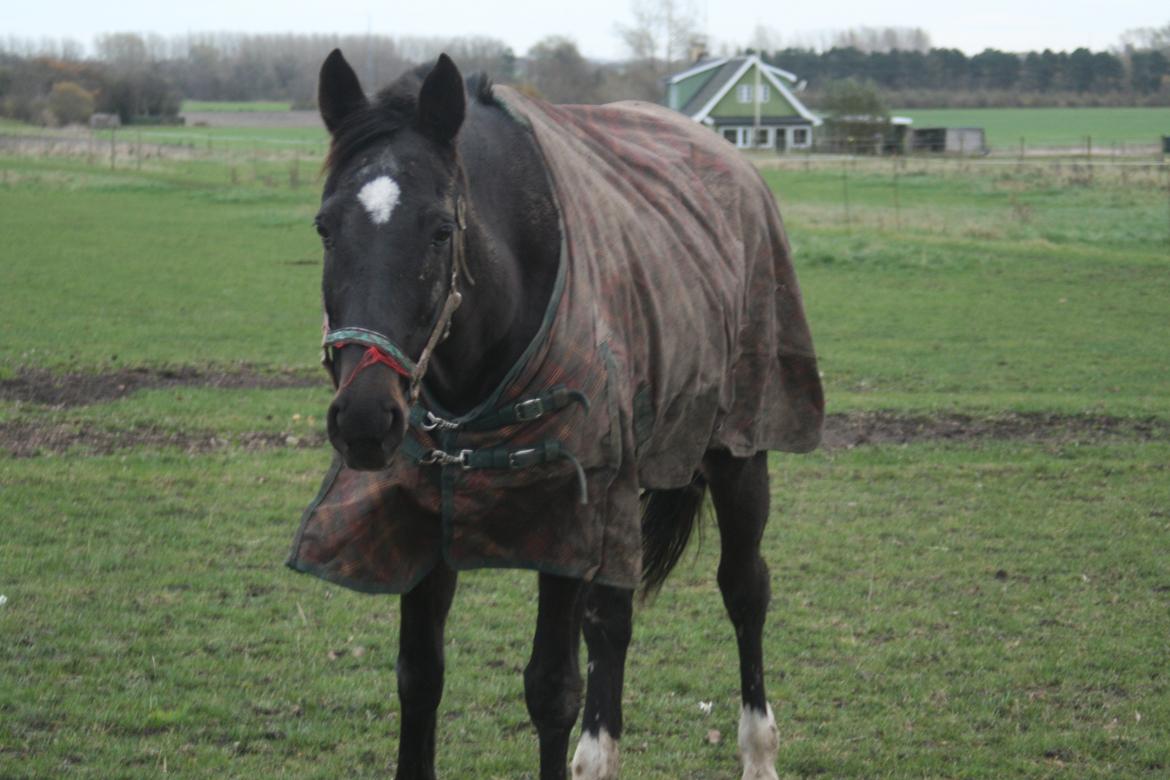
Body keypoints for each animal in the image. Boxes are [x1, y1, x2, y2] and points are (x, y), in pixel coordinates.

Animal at [286, 50, 823, 780]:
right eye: (325, 227)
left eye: (441, 230)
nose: (365, 419)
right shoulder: (430, 513)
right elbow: (420, 675)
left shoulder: (566, 514)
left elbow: (550, 688)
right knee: (613, 618)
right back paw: (600, 756)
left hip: (738, 453)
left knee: (745, 590)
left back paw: (758, 753)